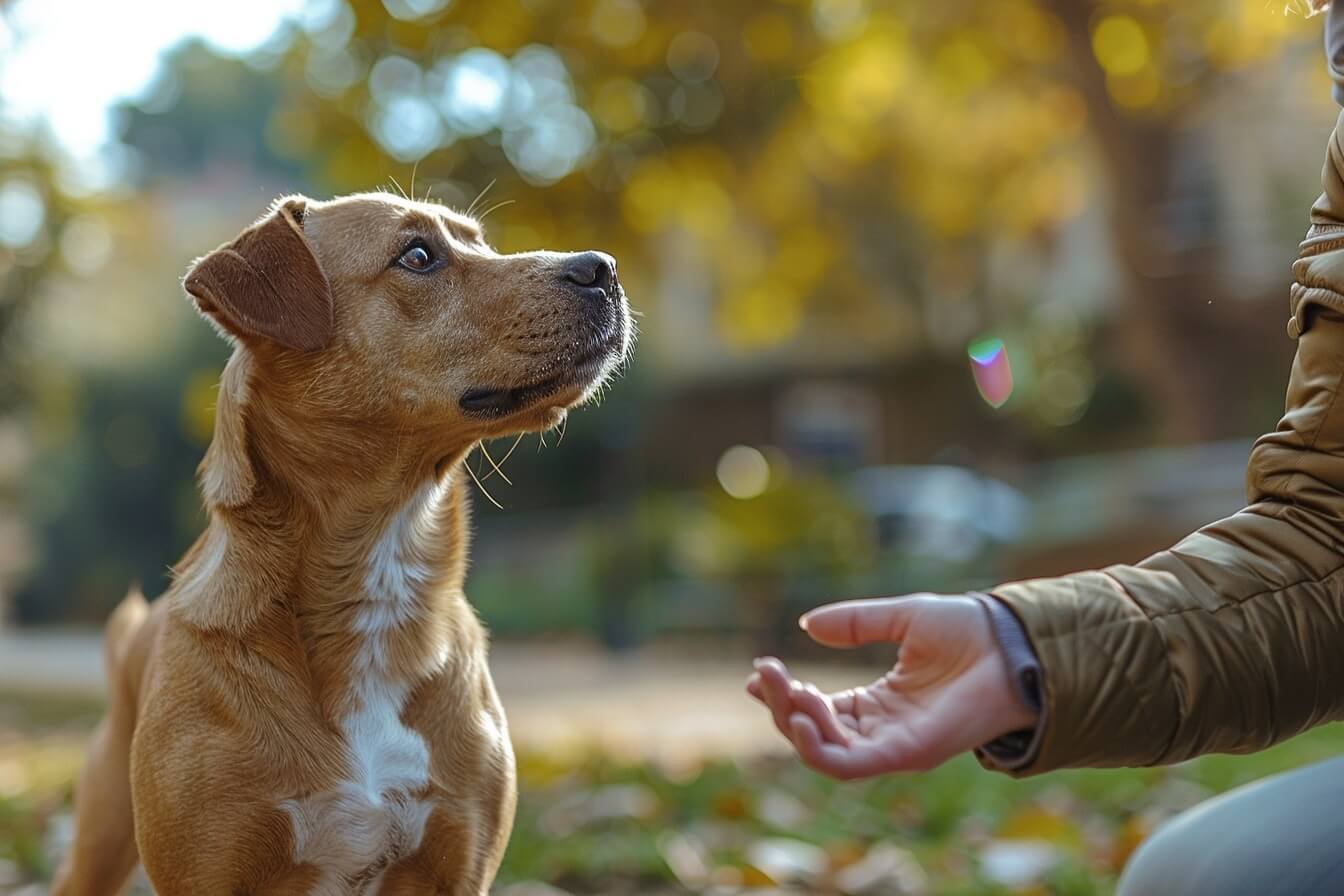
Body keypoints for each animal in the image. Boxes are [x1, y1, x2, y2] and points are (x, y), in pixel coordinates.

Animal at [52, 194, 634, 896]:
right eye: (418, 255)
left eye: (484, 244)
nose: (603, 266)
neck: (378, 574)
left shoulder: (456, 867)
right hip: (96, 846)